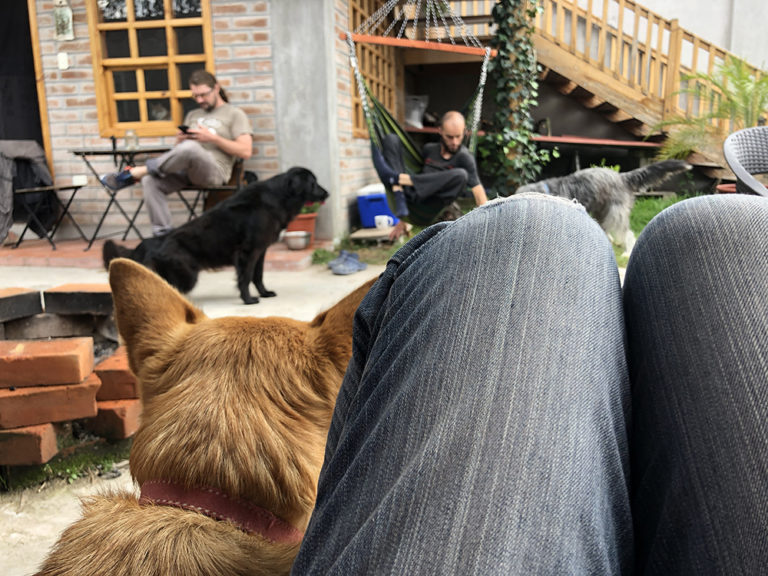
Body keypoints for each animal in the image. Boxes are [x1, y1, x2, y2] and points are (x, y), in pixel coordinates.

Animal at [103, 165, 330, 304]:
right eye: (313, 183)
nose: (327, 193)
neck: (278, 197)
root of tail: (153, 242)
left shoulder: (261, 251)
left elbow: (258, 276)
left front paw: (265, 293)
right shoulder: (248, 252)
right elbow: (246, 277)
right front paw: (248, 300)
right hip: (188, 275)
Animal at [516, 160, 688, 254]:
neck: (547, 191)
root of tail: (622, 177)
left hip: (615, 213)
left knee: (627, 233)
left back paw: (626, 252)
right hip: (602, 211)